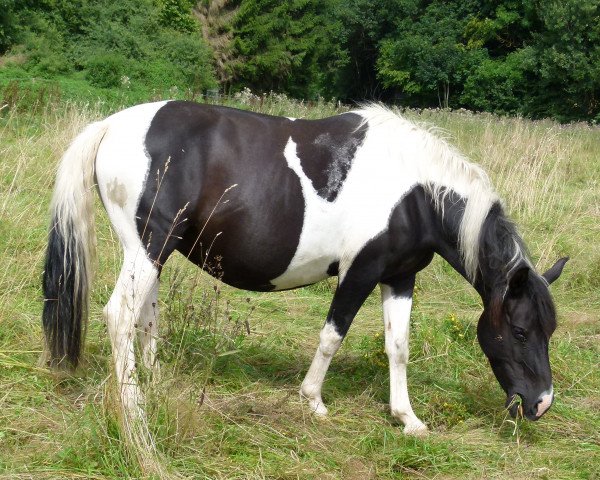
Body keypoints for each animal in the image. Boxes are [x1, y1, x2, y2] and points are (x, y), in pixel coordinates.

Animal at [42, 103, 568, 434]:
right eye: (520, 331)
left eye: (548, 331)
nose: (541, 403)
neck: (415, 191)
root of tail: (110, 125)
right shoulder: (361, 270)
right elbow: (332, 334)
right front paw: (313, 400)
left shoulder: (399, 276)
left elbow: (398, 347)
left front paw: (407, 419)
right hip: (148, 248)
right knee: (119, 316)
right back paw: (133, 407)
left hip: (153, 253)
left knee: (144, 316)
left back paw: (152, 381)